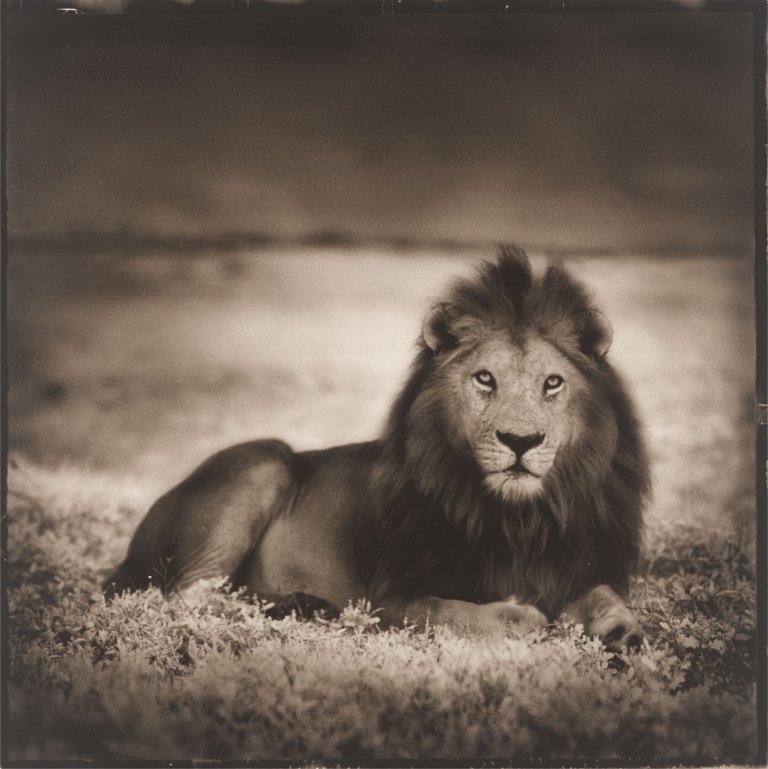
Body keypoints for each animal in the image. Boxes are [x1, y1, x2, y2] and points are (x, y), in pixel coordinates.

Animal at [106, 246, 651, 650]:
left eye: (553, 383)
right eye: (485, 379)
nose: (521, 441)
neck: (520, 519)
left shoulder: (584, 565)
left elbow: (605, 595)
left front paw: (623, 632)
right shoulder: (390, 598)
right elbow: (465, 613)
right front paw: (528, 618)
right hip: (262, 459)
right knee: (189, 595)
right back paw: (301, 609)